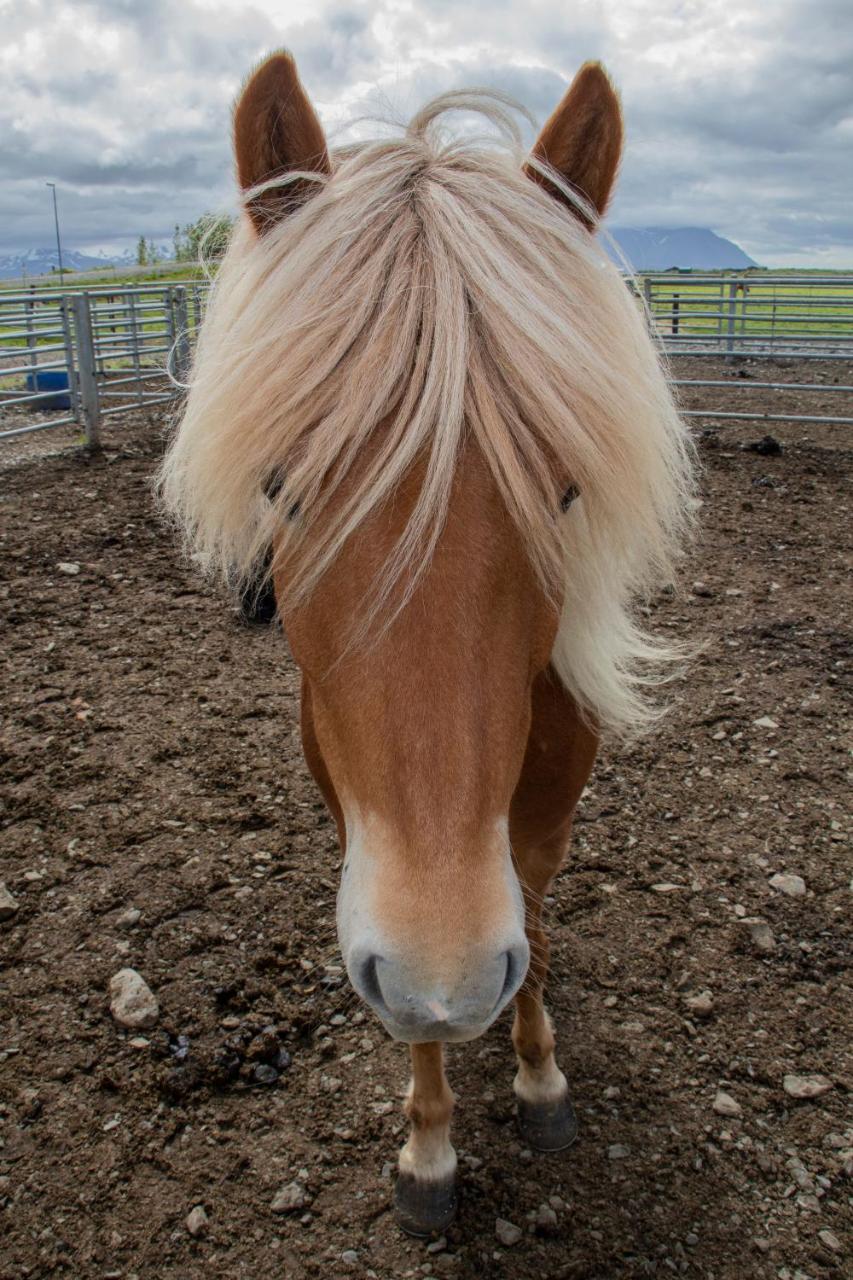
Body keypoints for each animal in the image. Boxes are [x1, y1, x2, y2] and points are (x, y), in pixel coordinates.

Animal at [159, 52, 691, 1239]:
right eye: (282, 487)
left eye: (565, 491)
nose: (441, 977)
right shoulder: (356, 822)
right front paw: (430, 1146)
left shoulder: (543, 814)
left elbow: (531, 929)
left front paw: (537, 1077)